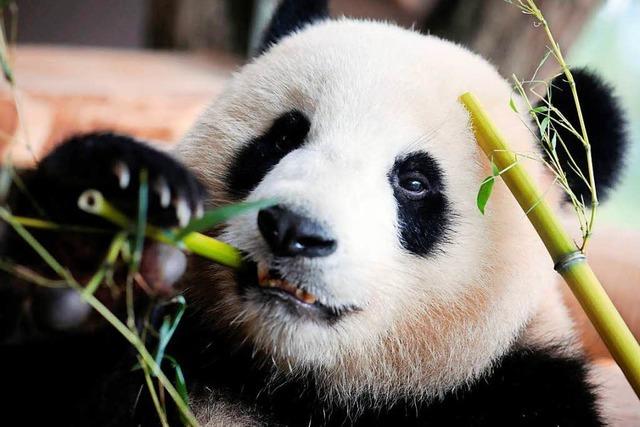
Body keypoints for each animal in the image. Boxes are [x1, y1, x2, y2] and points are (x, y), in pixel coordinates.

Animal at [0, 0, 632, 426]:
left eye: (415, 182)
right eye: (283, 136)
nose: (294, 231)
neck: (287, 384)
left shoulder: (517, 390)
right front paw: (96, 225)